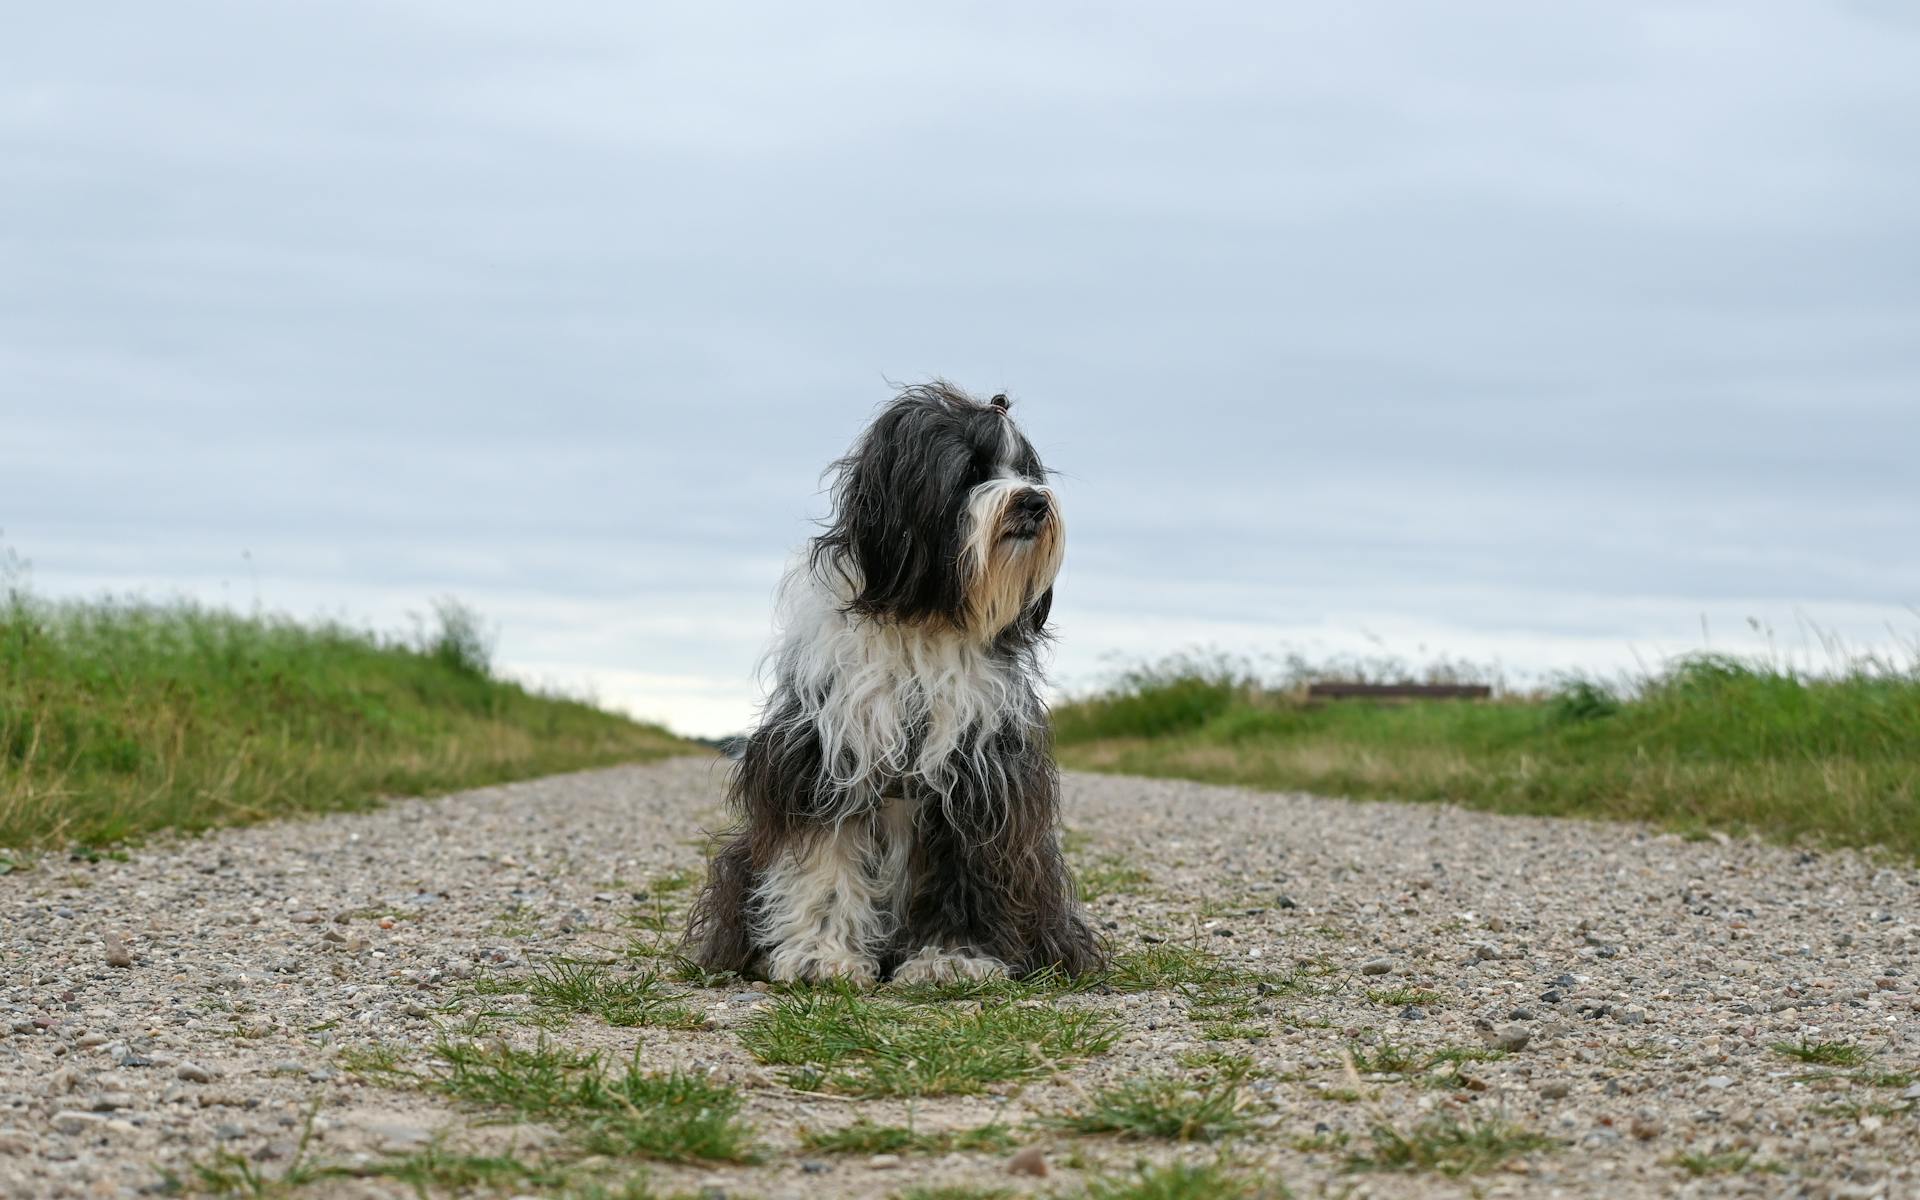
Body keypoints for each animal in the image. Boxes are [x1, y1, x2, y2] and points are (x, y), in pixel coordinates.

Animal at [687, 382, 1113, 983]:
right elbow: (825, 856)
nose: (1033, 502)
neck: (926, 618)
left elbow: (964, 867)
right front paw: (820, 956)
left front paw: (952, 958)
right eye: (972, 470)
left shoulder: (976, 772)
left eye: (1028, 471)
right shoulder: (826, 756)